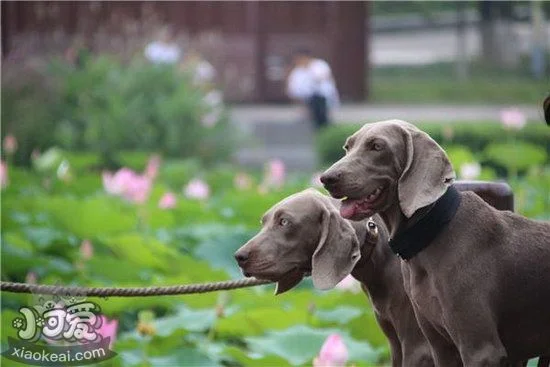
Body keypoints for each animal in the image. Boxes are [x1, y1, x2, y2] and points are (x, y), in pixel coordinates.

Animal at [322, 119, 550, 366]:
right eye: (347, 147)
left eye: (377, 146)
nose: (326, 178)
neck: (430, 234)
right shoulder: (439, 346)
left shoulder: (480, 349)